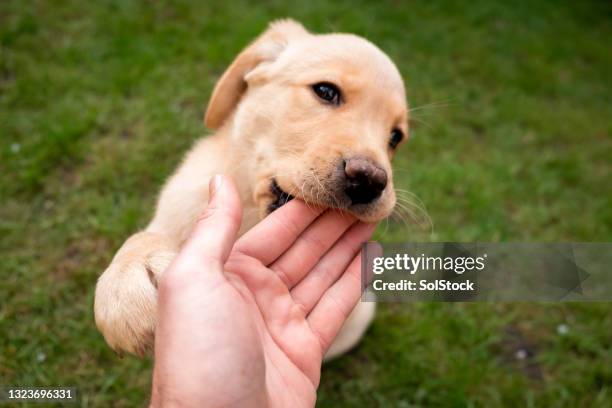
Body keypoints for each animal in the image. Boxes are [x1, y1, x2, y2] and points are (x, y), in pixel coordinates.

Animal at [95, 19, 408, 358]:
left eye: (396, 137)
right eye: (326, 91)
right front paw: (128, 282)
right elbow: (140, 238)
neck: (251, 217)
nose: (370, 180)